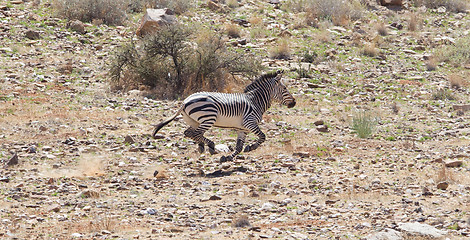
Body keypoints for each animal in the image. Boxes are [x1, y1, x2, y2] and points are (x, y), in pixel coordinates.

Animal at [152, 70, 296, 162]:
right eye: (284, 89)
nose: (294, 102)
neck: (255, 101)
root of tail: (185, 101)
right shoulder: (250, 122)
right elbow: (262, 137)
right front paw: (251, 147)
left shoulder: (242, 128)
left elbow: (239, 147)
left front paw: (228, 158)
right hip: (209, 117)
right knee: (195, 133)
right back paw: (210, 146)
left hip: (194, 121)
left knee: (189, 132)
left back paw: (202, 146)